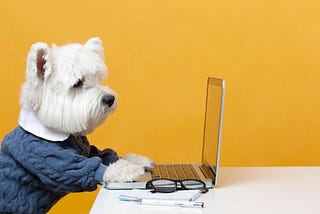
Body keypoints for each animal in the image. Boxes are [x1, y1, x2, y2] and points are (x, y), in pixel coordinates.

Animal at [0, 37, 154, 213]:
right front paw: (128, 169)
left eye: (97, 78)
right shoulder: (45, 157)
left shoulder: (87, 150)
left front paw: (136, 160)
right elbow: (85, 168)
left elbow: (103, 154)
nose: (110, 99)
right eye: (78, 83)